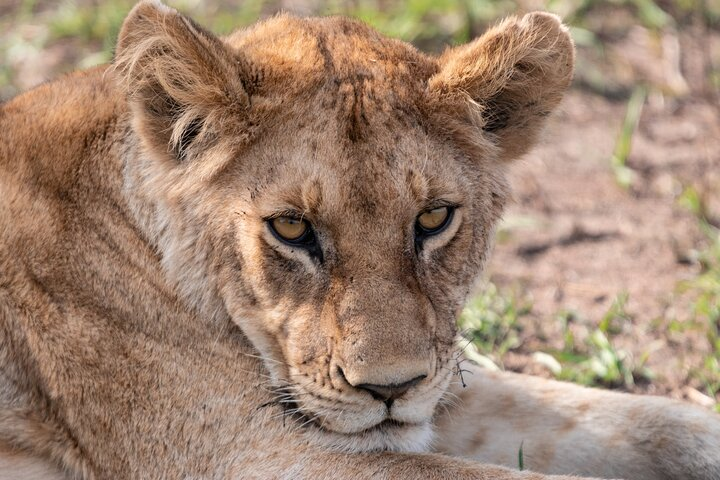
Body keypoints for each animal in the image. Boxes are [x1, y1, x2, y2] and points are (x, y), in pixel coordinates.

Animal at [1, 1, 720, 478]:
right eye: (291, 227)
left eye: (433, 218)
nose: (390, 391)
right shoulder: (248, 453)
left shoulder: (437, 377)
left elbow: (638, 419)